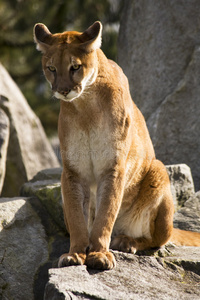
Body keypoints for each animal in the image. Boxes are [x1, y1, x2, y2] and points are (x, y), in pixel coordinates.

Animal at [34, 21, 200, 270]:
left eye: (75, 67)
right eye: (51, 68)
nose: (63, 90)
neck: (86, 106)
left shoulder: (113, 167)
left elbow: (106, 213)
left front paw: (99, 254)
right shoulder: (73, 170)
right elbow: (77, 217)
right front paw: (75, 253)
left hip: (159, 171)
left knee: (158, 240)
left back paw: (125, 241)